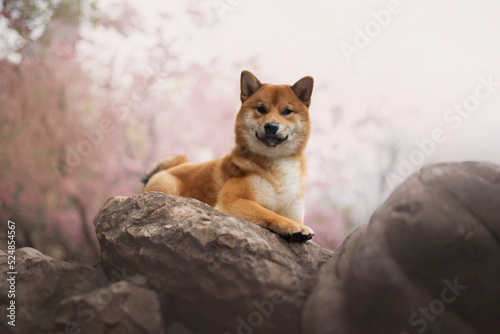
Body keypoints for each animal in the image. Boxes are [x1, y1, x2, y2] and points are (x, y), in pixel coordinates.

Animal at [141, 71, 312, 240]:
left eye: (286, 111)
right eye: (261, 109)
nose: (271, 126)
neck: (277, 163)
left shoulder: (293, 210)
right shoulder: (232, 201)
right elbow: (270, 213)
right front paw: (293, 227)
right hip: (167, 186)